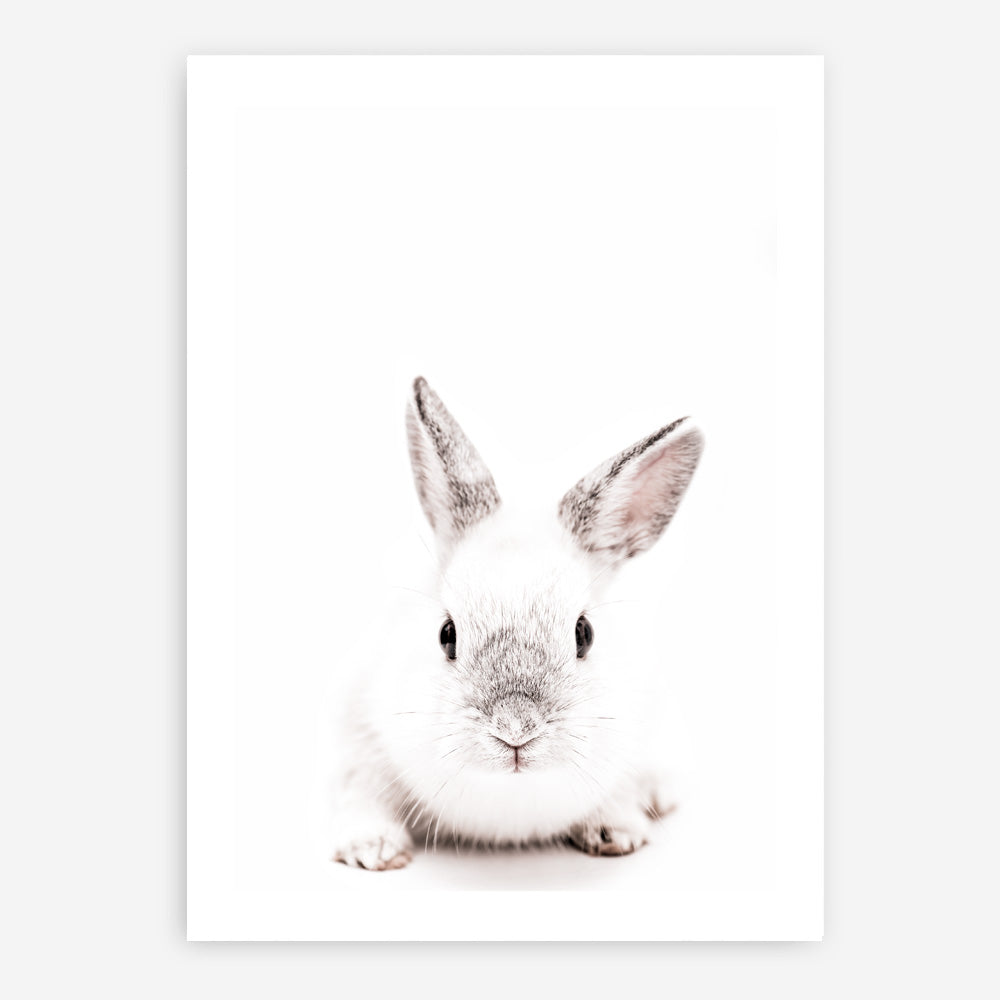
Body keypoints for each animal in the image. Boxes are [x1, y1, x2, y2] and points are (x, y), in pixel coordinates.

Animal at [322, 376, 703, 871]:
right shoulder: (359, 743)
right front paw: (373, 849)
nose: (516, 729)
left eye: (584, 634)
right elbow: (361, 795)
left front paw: (616, 831)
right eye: (447, 635)